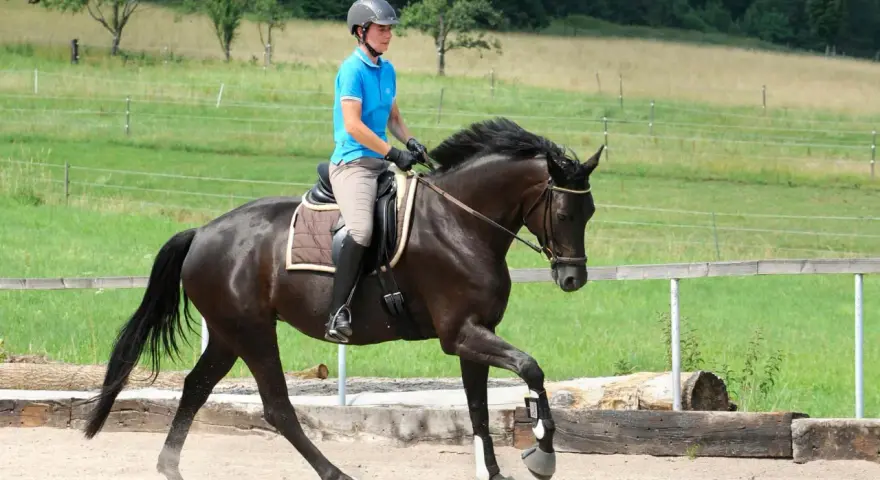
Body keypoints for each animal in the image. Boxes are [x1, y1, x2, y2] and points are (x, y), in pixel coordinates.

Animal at [80, 117, 603, 480]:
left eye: (590, 211)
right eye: (563, 211)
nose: (573, 278)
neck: (461, 222)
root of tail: (203, 232)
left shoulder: (474, 335)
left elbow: (479, 409)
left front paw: (497, 470)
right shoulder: (461, 334)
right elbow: (532, 369)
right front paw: (543, 453)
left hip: (229, 335)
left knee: (196, 387)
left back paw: (170, 465)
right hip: (253, 333)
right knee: (276, 407)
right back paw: (334, 472)